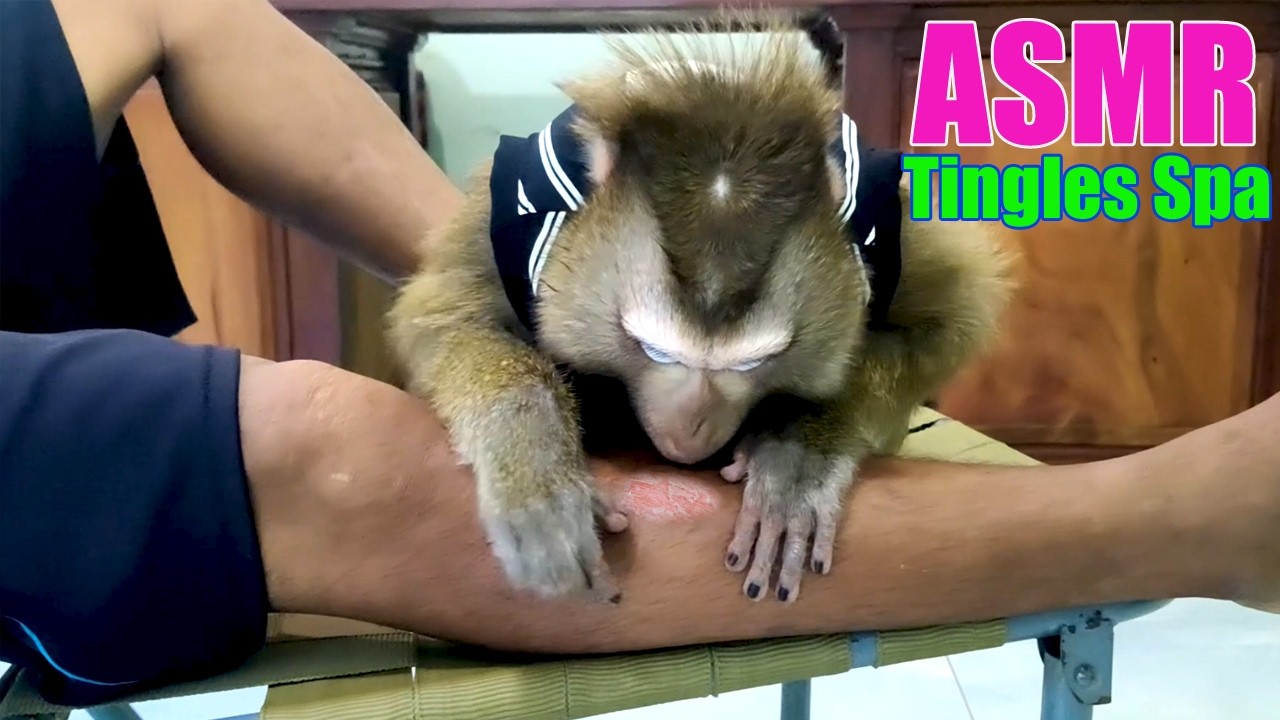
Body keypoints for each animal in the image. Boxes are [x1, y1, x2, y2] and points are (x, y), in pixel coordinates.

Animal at [386, 10, 1015, 606]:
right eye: (655, 351)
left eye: (750, 364)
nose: (691, 430)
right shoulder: (515, 208)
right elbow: (444, 318)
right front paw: (538, 468)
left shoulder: (893, 222)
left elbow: (951, 322)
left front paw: (799, 453)